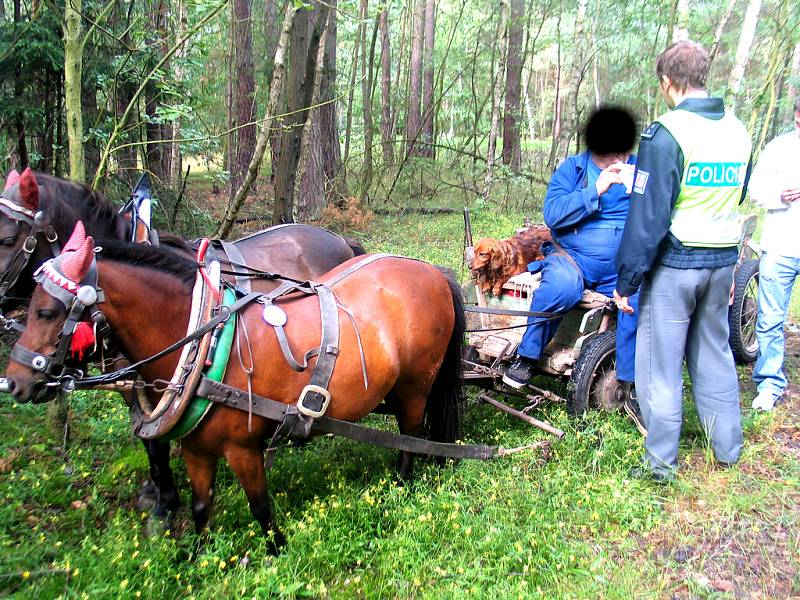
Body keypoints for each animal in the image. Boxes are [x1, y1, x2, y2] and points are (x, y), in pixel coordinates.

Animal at [0, 171, 362, 516]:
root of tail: (339, 239)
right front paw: (157, 493)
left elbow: (155, 442)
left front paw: (164, 505)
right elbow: (148, 437)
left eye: (6, 238)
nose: (13, 382)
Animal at [6, 226, 466, 552]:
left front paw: (276, 550)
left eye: (47, 312)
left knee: (411, 437)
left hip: (415, 385)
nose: (13, 381)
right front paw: (196, 556)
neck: (204, 346)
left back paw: (401, 486)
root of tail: (433, 272)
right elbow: (200, 506)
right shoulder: (195, 448)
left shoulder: (242, 448)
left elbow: (260, 505)